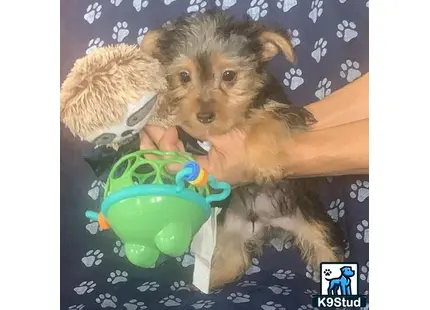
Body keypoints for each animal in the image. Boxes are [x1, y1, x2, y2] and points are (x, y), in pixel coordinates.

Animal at [141, 10, 346, 290]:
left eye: (229, 76)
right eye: (183, 77)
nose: (204, 116)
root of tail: (267, 223)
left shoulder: (285, 109)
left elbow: (267, 120)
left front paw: (264, 161)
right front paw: (160, 108)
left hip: (313, 221)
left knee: (327, 247)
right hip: (230, 232)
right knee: (233, 260)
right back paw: (207, 282)